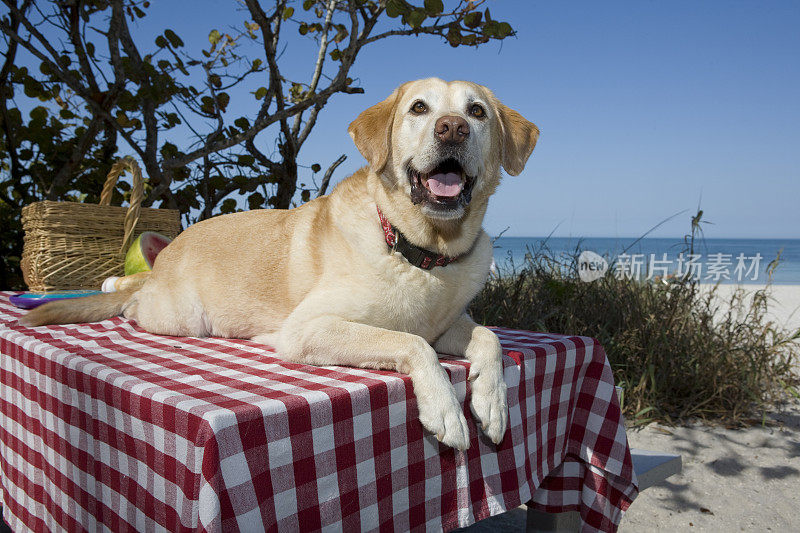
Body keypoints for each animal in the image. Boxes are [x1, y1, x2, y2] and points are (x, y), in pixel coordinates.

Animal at [21, 77, 536, 446]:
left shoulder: (447, 324)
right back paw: (118, 290)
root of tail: (170, 249)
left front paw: (492, 403)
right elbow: (410, 343)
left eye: (477, 111)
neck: (421, 251)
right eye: (419, 109)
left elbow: (487, 336)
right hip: (180, 317)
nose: (453, 128)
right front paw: (445, 409)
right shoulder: (310, 328)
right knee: (131, 303)